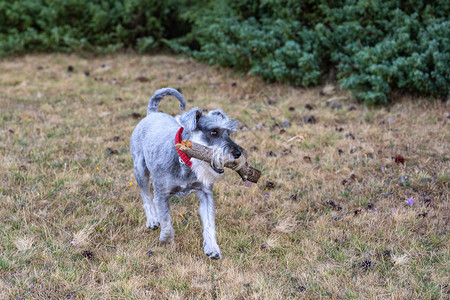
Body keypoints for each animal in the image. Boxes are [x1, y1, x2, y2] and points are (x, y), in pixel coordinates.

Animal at [129, 88, 246, 258]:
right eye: (214, 132)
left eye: (228, 133)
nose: (238, 153)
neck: (184, 162)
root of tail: (152, 113)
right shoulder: (161, 195)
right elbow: (166, 221)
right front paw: (166, 239)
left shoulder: (205, 193)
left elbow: (209, 223)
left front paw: (212, 248)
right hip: (140, 170)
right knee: (145, 195)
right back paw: (152, 220)